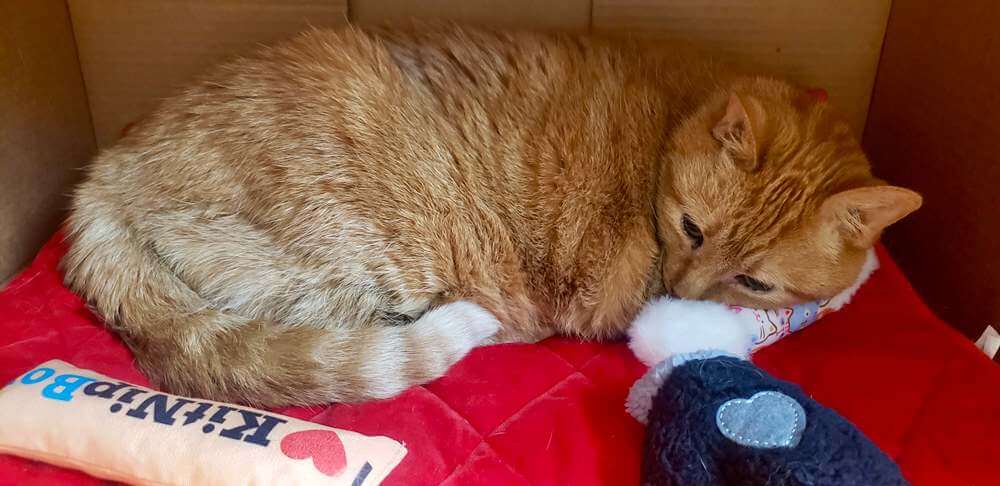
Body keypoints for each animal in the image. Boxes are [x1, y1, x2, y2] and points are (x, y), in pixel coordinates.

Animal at [60, 25, 920, 406]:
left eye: (755, 279)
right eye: (691, 230)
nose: (686, 288)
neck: (674, 115)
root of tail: (104, 177)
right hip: (378, 242)